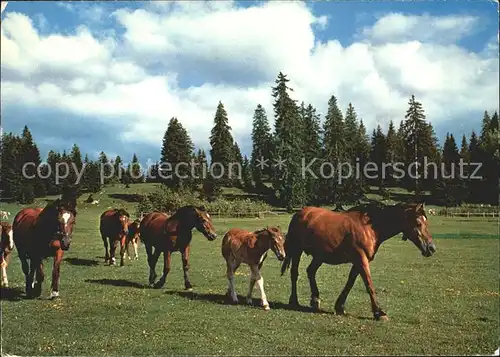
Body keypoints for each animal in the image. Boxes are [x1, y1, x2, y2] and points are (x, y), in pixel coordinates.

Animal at [280, 200, 436, 320]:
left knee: (310, 271)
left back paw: (315, 299)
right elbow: (369, 285)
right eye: (418, 223)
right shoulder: (361, 260)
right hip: (297, 251)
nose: (431, 248)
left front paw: (340, 307)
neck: (370, 228)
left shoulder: (358, 261)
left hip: (319, 256)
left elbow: (350, 283)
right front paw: (379, 312)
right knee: (294, 274)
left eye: (426, 223)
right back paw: (294, 301)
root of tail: (300, 213)